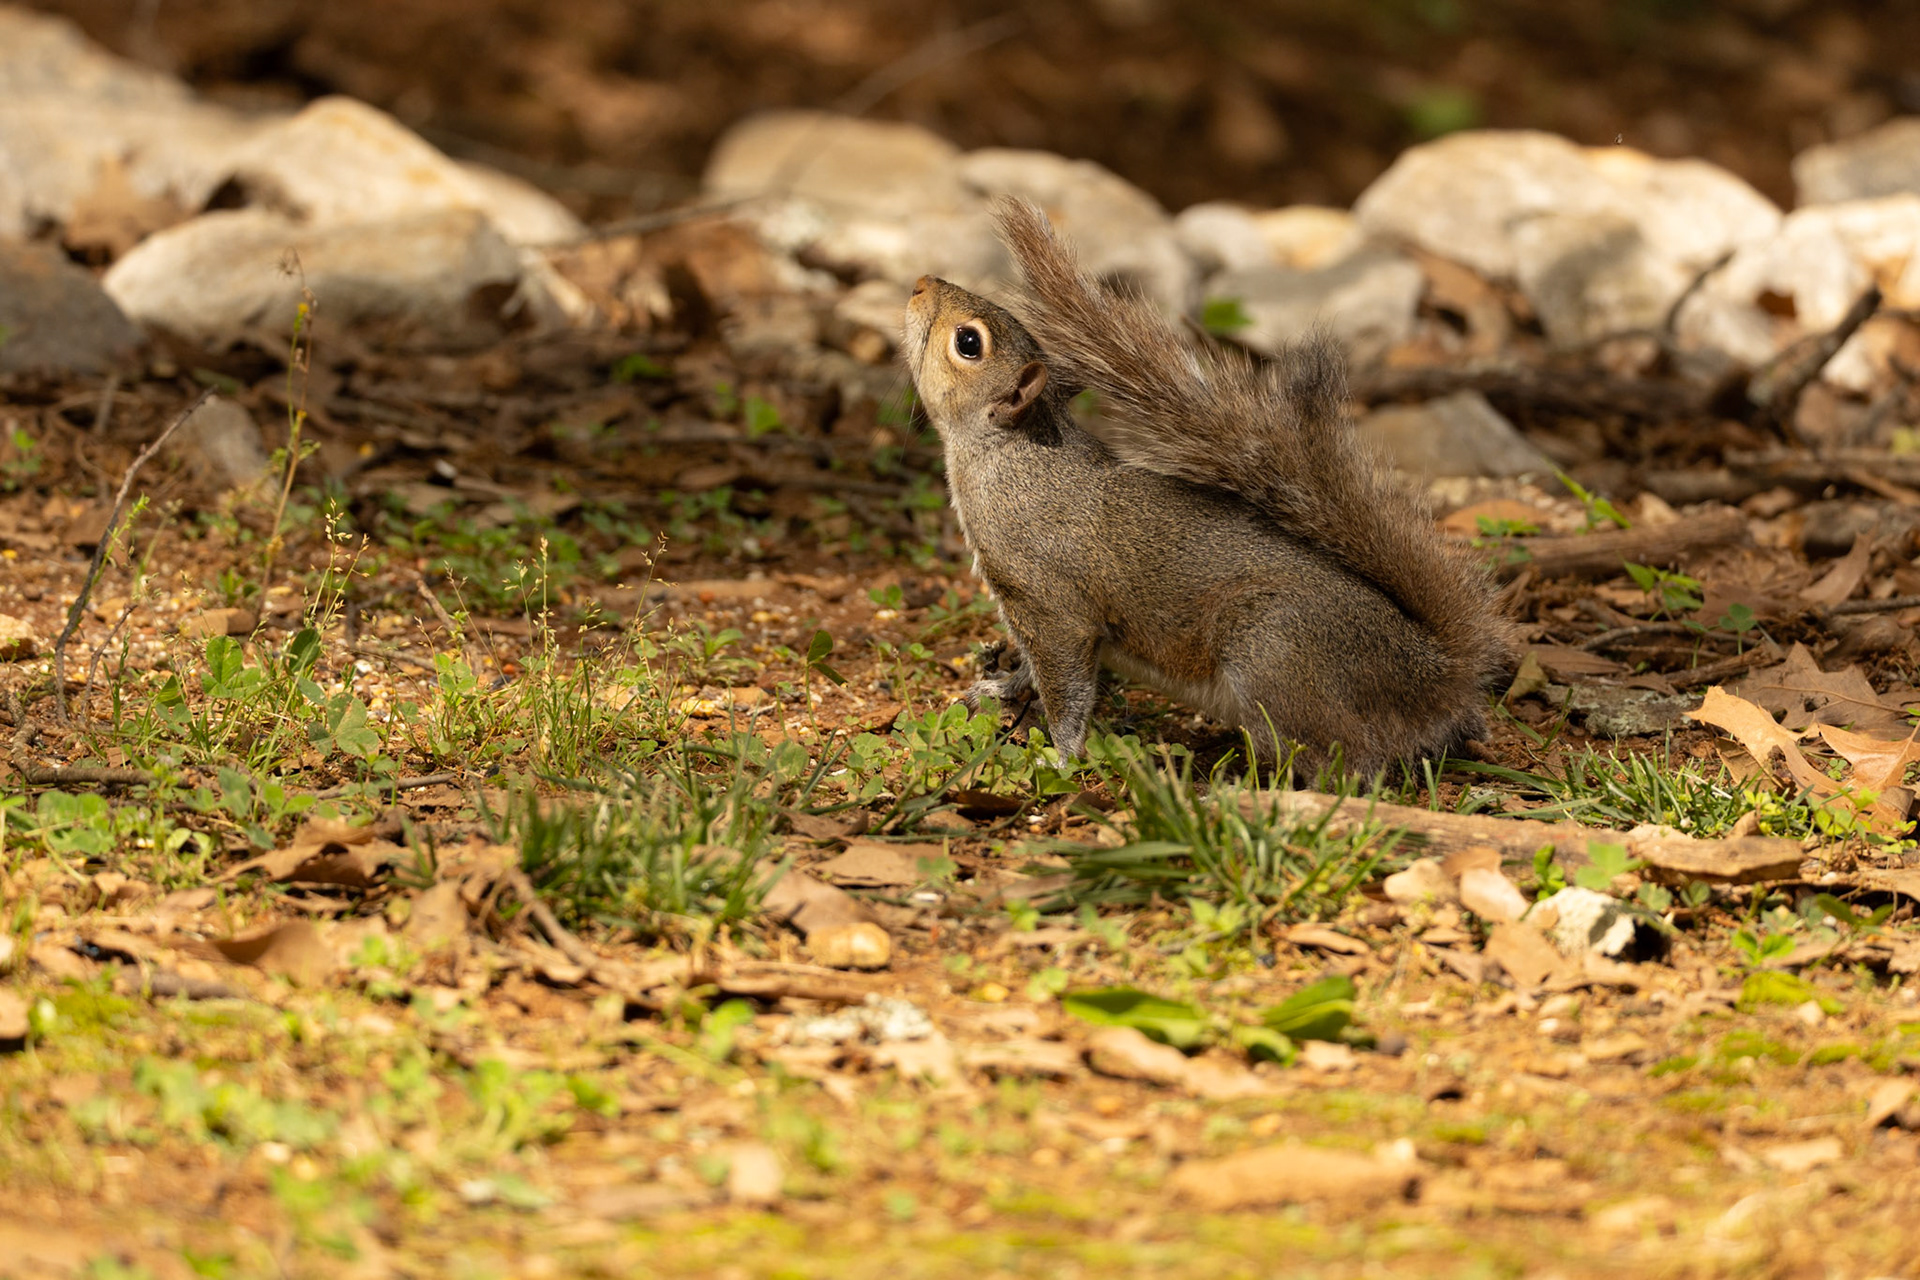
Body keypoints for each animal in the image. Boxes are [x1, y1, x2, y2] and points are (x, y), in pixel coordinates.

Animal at [901, 198, 1515, 777]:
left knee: (1352, 763)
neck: (1011, 460)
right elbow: (1031, 670)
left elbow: (1066, 688)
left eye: (968, 343)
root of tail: (1431, 674)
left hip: (1275, 656)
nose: (920, 281)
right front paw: (998, 688)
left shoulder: (1051, 604)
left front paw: (1060, 759)